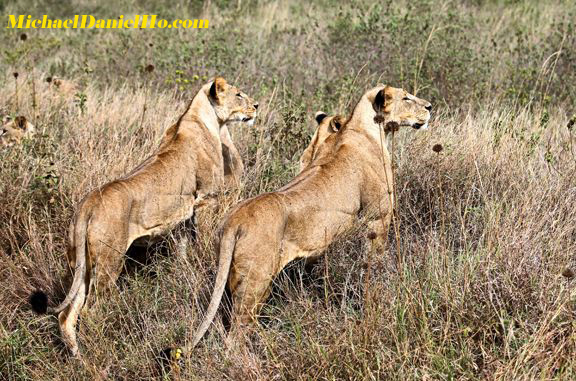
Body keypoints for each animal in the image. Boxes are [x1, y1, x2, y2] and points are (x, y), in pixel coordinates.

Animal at [29, 77, 258, 356]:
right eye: (239, 95)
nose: (257, 106)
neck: (203, 117)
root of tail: (87, 206)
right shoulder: (206, 199)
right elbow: (203, 238)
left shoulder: (183, 215)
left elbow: (182, 249)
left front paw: (182, 270)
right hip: (109, 261)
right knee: (91, 310)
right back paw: (99, 349)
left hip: (80, 262)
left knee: (67, 315)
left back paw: (77, 357)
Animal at [189, 83, 432, 348]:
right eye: (406, 98)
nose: (430, 107)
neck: (367, 129)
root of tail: (234, 221)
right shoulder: (378, 217)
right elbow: (375, 258)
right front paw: (378, 281)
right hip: (256, 281)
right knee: (236, 333)